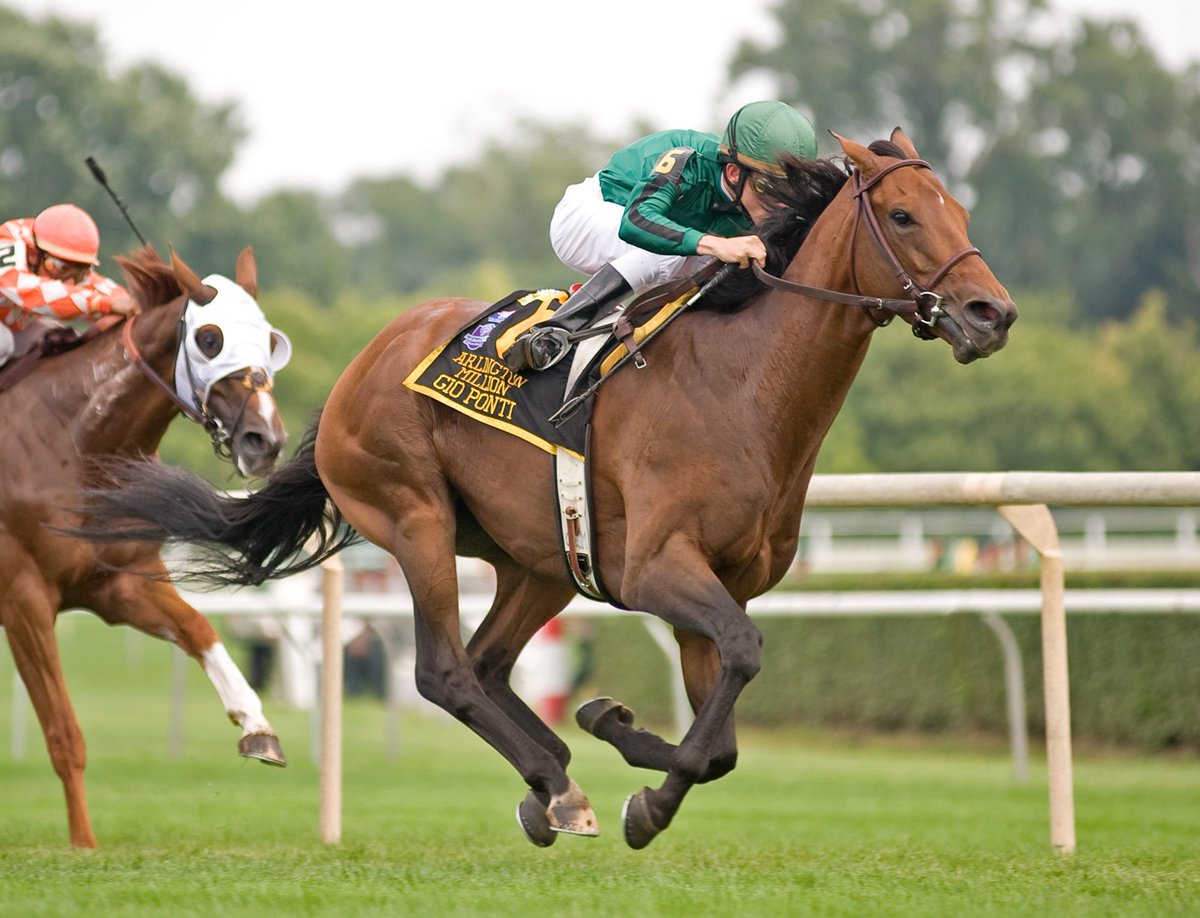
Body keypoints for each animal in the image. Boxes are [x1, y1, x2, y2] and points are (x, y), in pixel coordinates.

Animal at [0, 246, 292, 848]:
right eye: (210, 338)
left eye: (270, 338)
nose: (266, 440)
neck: (76, 445)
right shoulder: (23, 597)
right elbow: (63, 734)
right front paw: (84, 845)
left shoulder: (120, 584)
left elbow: (199, 629)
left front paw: (258, 727)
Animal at [79, 130, 1017, 849]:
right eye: (903, 215)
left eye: (963, 214)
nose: (992, 314)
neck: (743, 386)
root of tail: (361, 364)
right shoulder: (655, 569)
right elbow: (742, 663)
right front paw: (634, 780)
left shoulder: (715, 583)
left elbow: (722, 737)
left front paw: (618, 741)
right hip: (414, 515)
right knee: (445, 673)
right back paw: (555, 784)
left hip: (540, 560)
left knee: (490, 665)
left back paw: (553, 780)